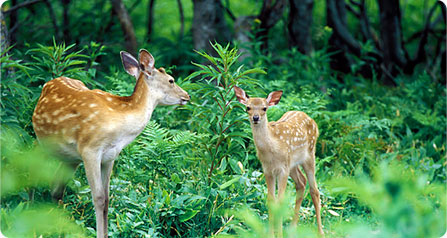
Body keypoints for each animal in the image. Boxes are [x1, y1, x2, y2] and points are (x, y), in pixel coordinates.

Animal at [32, 49, 191, 237]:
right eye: (171, 80)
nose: (187, 96)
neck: (120, 128)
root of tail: (47, 83)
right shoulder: (90, 150)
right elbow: (99, 198)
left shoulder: (110, 156)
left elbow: (107, 199)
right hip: (44, 143)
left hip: (70, 158)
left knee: (56, 187)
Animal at [233, 87, 324, 236]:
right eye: (248, 107)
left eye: (264, 108)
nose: (256, 118)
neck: (272, 150)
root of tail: (313, 121)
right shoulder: (268, 170)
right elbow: (271, 200)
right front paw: (271, 234)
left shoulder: (282, 170)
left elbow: (280, 202)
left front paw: (279, 235)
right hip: (292, 164)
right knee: (301, 183)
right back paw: (292, 228)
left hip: (310, 155)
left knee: (314, 190)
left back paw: (320, 232)